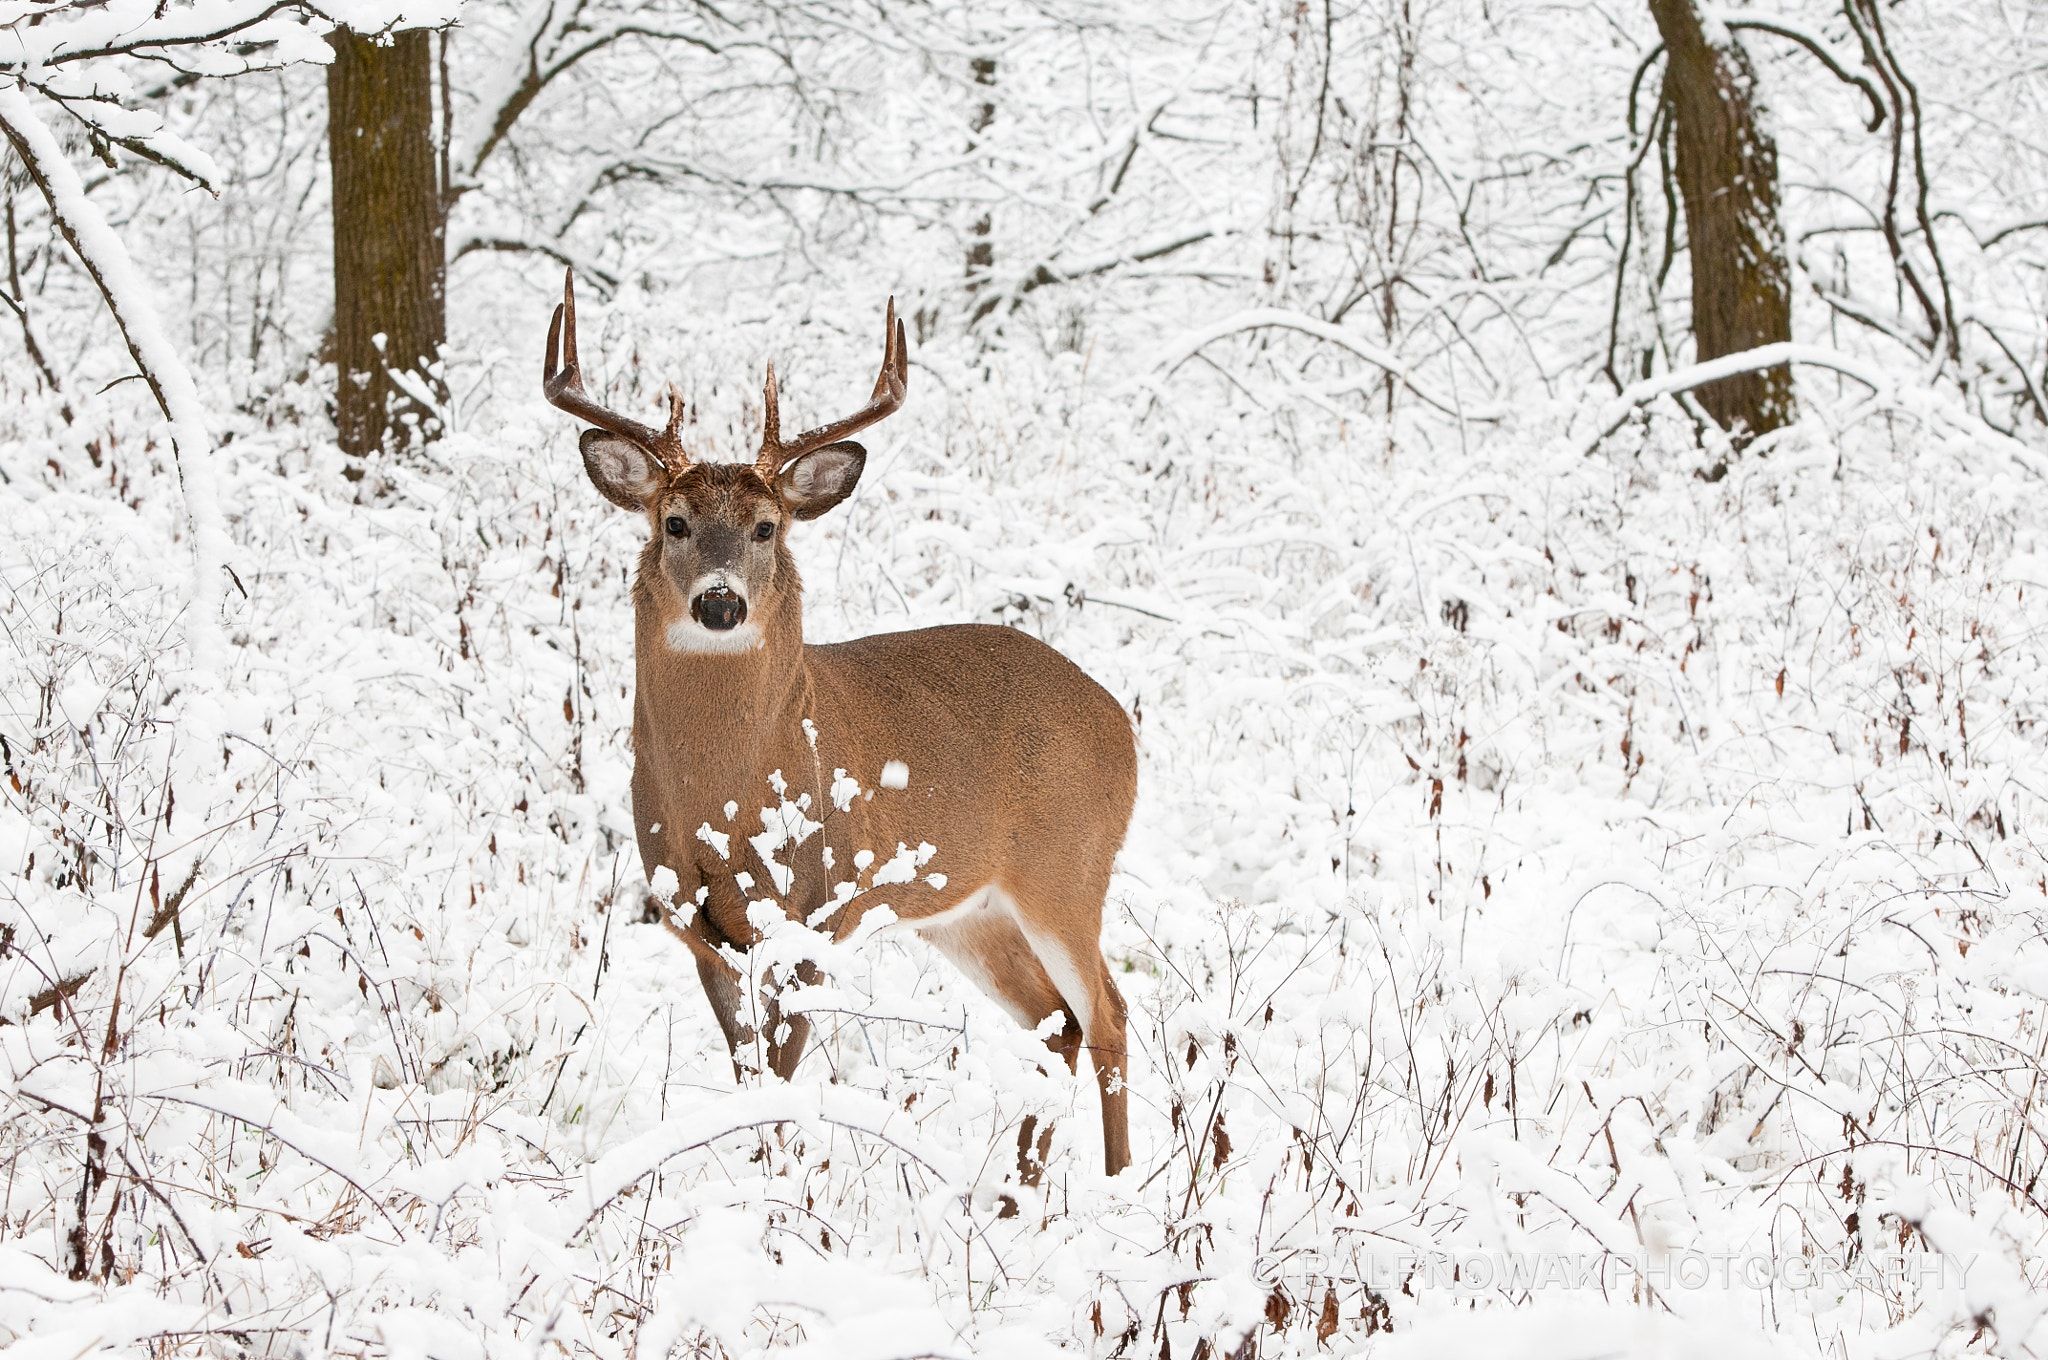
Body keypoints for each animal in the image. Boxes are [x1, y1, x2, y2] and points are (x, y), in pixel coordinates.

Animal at [540, 271, 1137, 1184]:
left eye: (767, 526)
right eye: (673, 523)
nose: (720, 602)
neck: (724, 801)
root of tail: (1123, 724)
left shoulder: (817, 909)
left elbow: (784, 1073)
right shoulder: (696, 926)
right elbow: (747, 1068)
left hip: (1067, 869)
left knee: (1109, 1011)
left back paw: (1117, 1188)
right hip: (968, 911)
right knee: (1056, 1026)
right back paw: (1017, 1192)